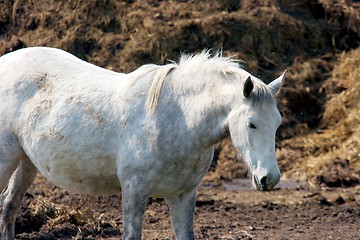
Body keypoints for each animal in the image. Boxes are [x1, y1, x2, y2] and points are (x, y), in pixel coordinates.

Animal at [0, 47, 286, 238]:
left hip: (27, 162)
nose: (269, 178)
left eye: (277, 123)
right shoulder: (134, 189)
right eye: (252, 124)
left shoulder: (183, 195)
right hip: (6, 160)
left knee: (9, 207)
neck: (178, 118)